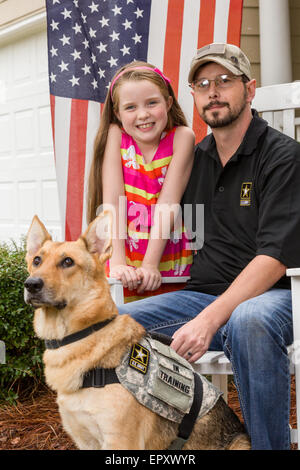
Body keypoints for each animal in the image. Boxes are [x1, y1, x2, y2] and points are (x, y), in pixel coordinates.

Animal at [24, 211, 251, 450]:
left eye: (68, 261)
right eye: (37, 260)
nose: (31, 284)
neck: (80, 335)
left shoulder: (121, 441)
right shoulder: (85, 440)